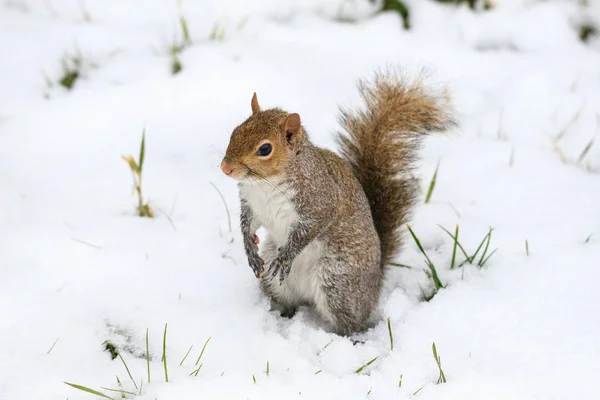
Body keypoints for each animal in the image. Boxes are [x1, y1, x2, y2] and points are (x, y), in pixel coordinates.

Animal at [220, 69, 454, 334]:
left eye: (265, 149)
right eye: (235, 132)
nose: (225, 168)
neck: (265, 183)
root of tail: (376, 280)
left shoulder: (320, 201)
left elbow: (309, 229)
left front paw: (286, 257)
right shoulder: (251, 204)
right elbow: (246, 224)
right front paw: (250, 249)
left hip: (337, 282)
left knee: (351, 320)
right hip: (277, 282)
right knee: (286, 300)